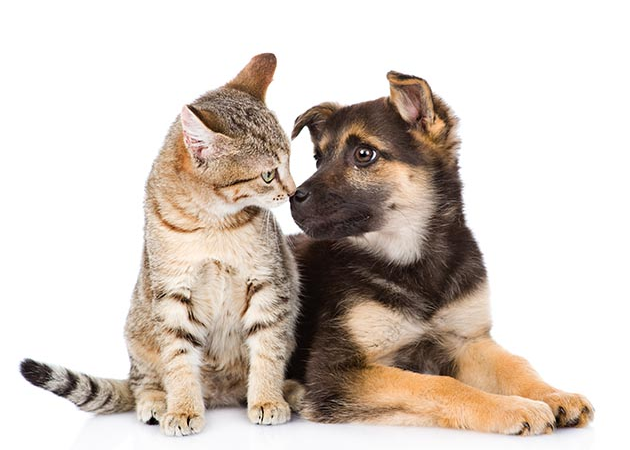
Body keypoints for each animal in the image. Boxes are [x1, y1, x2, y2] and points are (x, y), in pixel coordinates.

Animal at [21, 52, 302, 436]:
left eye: (289, 161)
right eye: (268, 174)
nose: (293, 192)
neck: (214, 223)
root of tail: (222, 394)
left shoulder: (268, 282)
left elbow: (268, 349)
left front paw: (267, 399)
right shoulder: (172, 294)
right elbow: (179, 360)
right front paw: (182, 408)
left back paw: (288, 391)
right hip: (138, 334)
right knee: (143, 380)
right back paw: (156, 401)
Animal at [288, 71, 596, 436]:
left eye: (364, 154)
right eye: (318, 159)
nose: (293, 197)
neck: (414, 259)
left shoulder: (467, 340)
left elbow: (515, 365)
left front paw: (553, 394)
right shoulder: (336, 371)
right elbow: (438, 385)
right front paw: (512, 408)